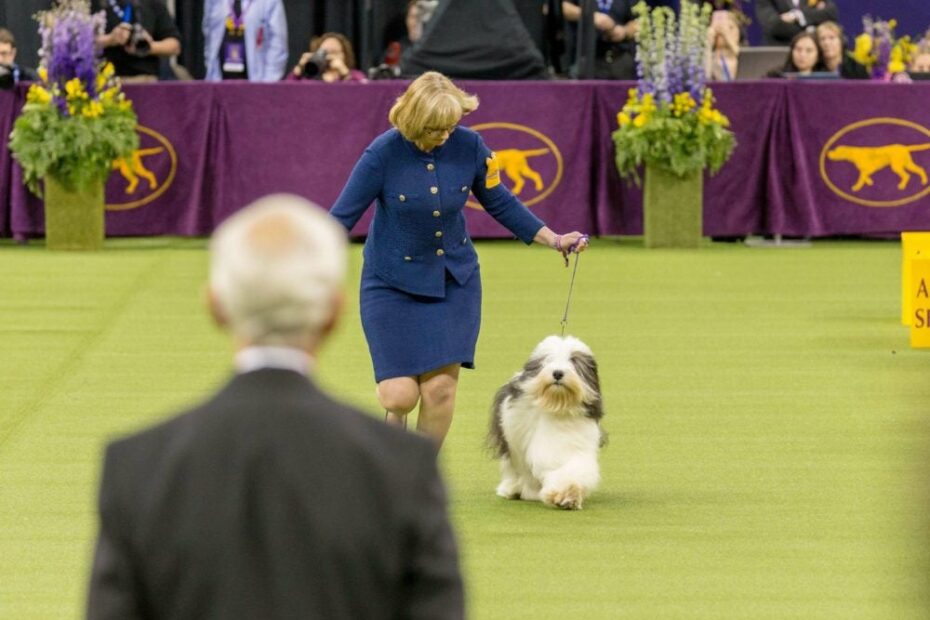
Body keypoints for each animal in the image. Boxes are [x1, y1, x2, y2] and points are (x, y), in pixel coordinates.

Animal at [482, 336, 604, 512]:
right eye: (548, 360)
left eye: (573, 361)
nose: (558, 373)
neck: (556, 405)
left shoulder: (575, 443)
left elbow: (573, 470)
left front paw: (568, 494)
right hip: (512, 444)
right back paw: (513, 489)